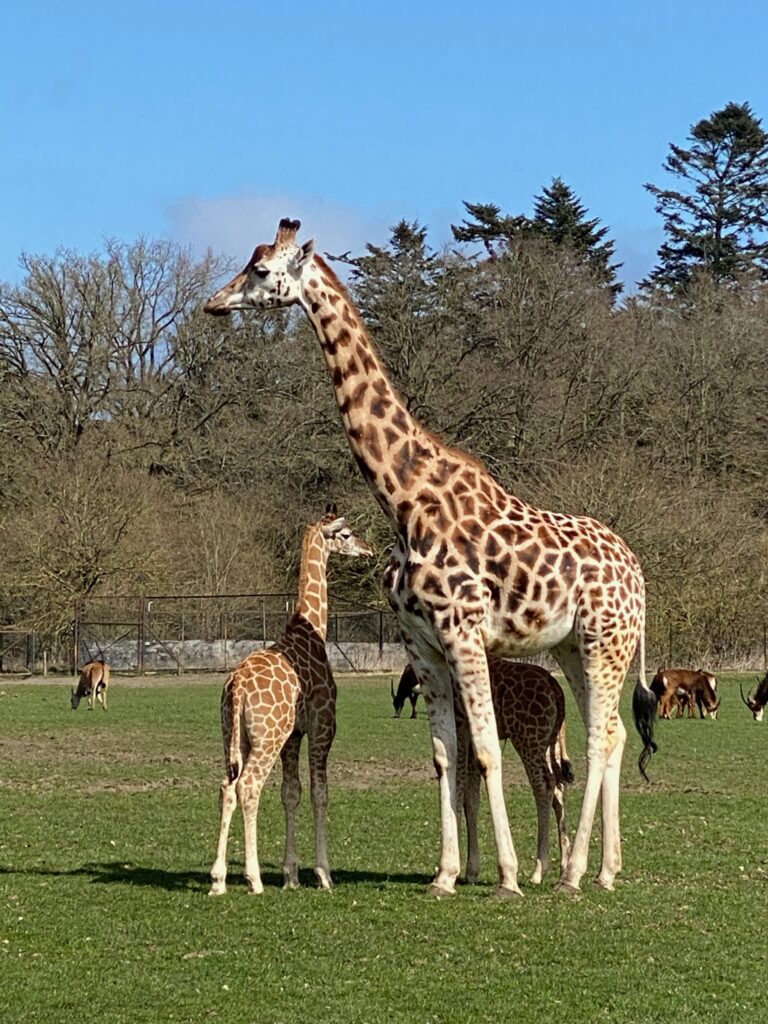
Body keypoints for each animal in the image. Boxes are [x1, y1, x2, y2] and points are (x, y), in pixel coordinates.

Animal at [208, 504, 372, 896]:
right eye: (346, 534)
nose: (368, 550)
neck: (311, 629)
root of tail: (237, 687)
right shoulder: (323, 726)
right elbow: (319, 792)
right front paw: (323, 874)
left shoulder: (293, 736)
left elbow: (291, 792)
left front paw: (291, 874)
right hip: (266, 738)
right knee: (249, 786)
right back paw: (253, 878)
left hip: (232, 737)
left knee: (227, 787)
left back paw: (219, 879)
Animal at [458, 660, 574, 887]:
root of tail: (555, 686)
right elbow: (471, 799)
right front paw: (472, 870)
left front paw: (468, 870)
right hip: (550, 741)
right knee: (558, 785)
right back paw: (563, 867)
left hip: (528, 738)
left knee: (544, 784)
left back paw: (539, 871)